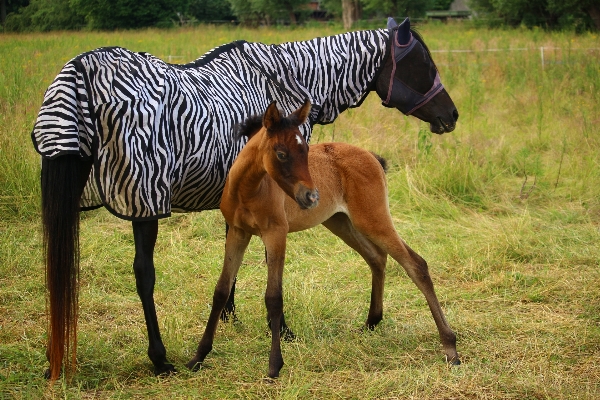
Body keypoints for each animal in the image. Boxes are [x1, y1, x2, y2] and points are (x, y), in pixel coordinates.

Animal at [186, 100, 460, 378]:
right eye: (281, 153)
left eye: (306, 150)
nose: (311, 196)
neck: (248, 189)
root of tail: (372, 156)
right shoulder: (237, 232)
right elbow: (221, 290)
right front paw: (198, 357)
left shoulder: (276, 234)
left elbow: (273, 297)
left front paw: (274, 365)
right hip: (341, 222)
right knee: (376, 257)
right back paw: (371, 322)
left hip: (372, 219)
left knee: (415, 264)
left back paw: (450, 347)